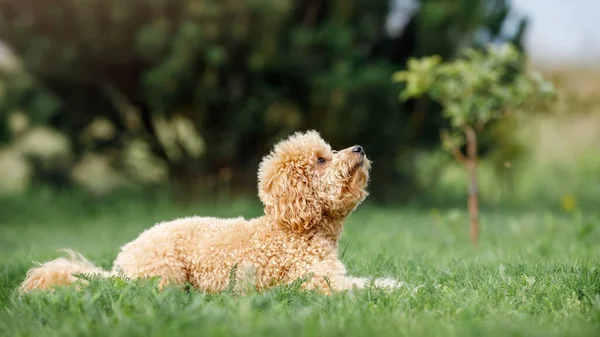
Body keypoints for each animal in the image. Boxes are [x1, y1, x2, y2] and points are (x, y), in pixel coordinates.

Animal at [21, 130, 400, 292]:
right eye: (321, 160)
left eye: (330, 150)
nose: (359, 148)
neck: (292, 229)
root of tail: (119, 265)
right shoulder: (319, 283)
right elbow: (367, 288)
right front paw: (405, 291)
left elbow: (373, 281)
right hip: (165, 274)